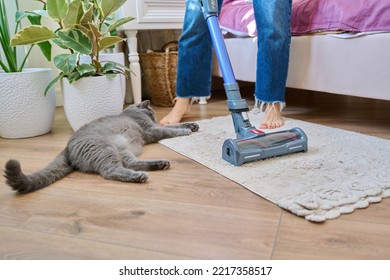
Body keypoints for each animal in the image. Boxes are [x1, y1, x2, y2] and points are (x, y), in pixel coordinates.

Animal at [3, 100, 198, 195]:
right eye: (152, 112)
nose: (157, 118)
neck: (129, 112)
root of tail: (67, 147)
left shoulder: (152, 129)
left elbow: (174, 126)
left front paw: (192, 125)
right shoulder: (151, 130)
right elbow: (169, 131)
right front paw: (185, 131)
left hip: (121, 149)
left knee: (130, 164)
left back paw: (160, 164)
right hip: (105, 149)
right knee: (110, 171)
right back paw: (140, 176)